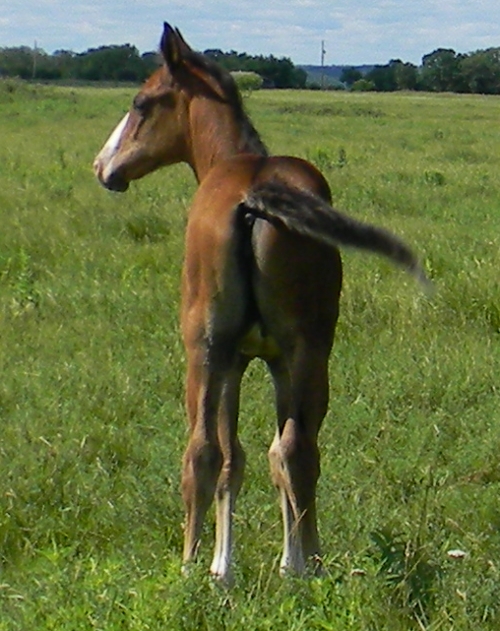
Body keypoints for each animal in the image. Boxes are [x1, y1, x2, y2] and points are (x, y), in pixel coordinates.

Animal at [94, 23, 428, 585]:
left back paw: (201, 566)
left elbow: (236, 456)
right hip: (306, 351)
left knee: (206, 450)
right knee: (295, 449)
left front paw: (225, 565)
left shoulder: (234, 358)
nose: (104, 166)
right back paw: (299, 565)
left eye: (141, 102)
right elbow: (260, 456)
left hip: (208, 350)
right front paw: (260, 562)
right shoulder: (265, 359)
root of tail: (255, 197)